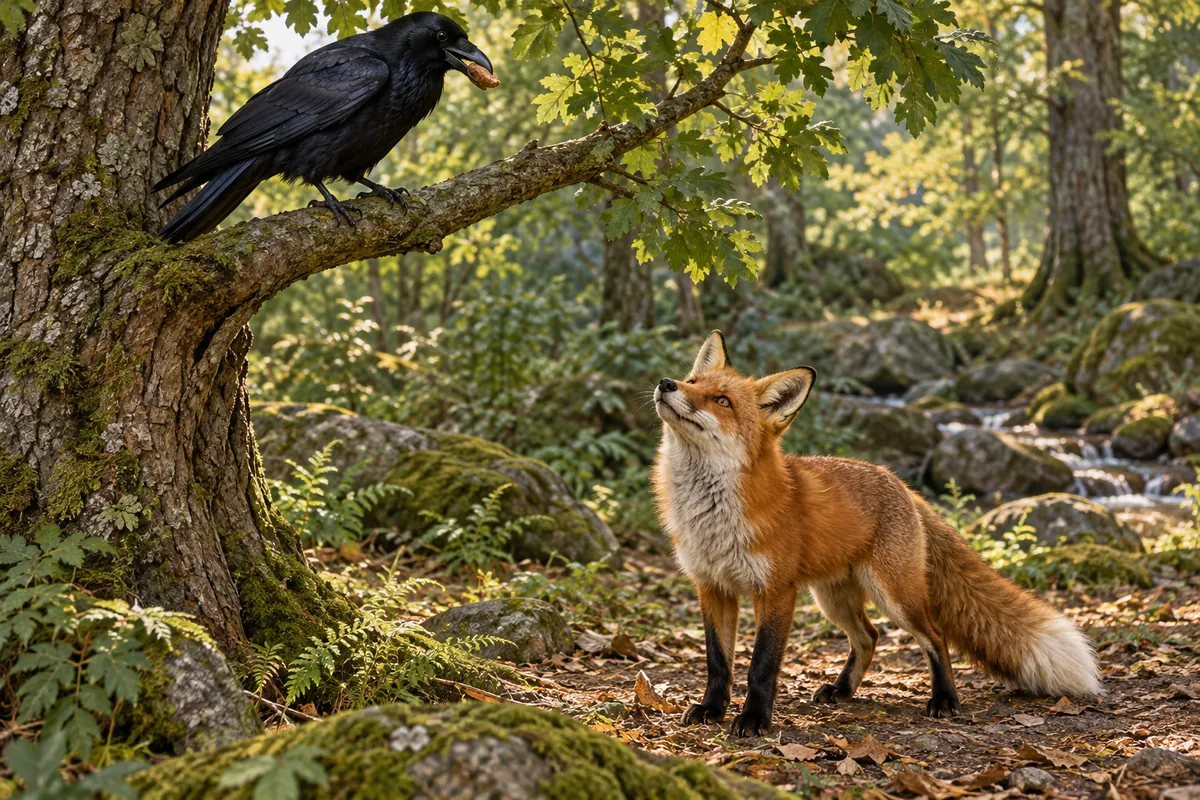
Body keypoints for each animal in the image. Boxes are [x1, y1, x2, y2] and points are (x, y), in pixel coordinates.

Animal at [653, 331, 1101, 736]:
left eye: (721, 401)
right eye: (693, 382)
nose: (667, 383)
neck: (714, 518)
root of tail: (900, 482)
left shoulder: (776, 591)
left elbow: (761, 665)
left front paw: (753, 720)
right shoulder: (712, 586)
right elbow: (718, 662)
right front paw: (712, 710)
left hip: (895, 594)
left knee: (934, 636)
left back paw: (944, 699)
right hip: (833, 597)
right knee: (869, 636)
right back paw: (843, 690)